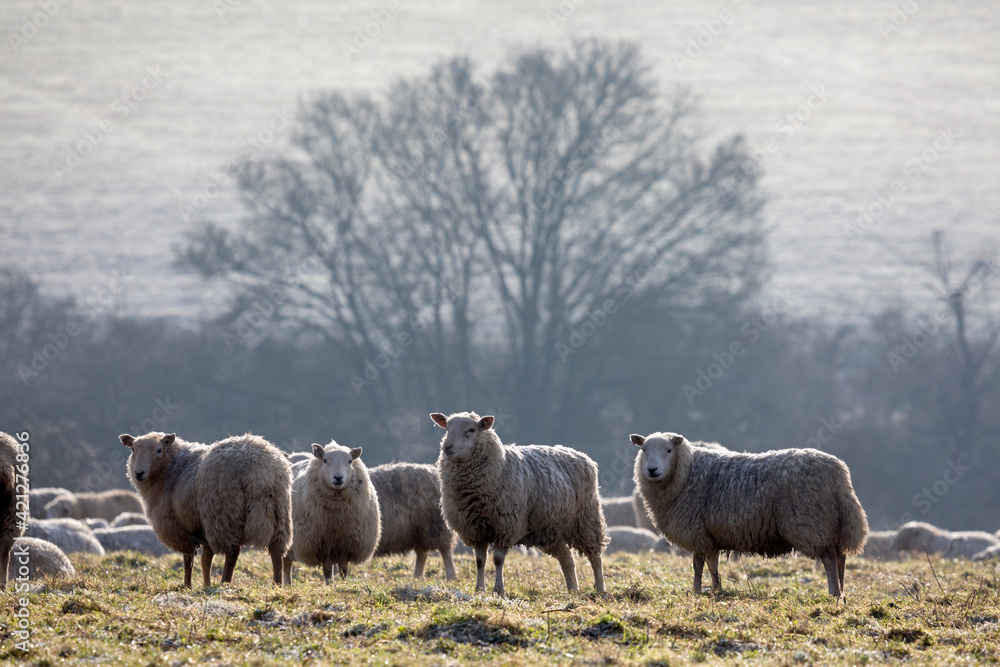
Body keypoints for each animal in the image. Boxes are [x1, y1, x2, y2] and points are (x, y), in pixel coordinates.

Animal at [121, 431, 293, 587]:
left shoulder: (182, 529)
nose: (139, 473)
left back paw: (225, 582)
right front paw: (206, 584)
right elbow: (206, 561)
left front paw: (188, 586)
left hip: (222, 515)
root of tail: (259, 471)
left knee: (232, 553)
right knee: (277, 550)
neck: (172, 468)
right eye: (133, 449)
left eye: (158, 450)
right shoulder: (202, 530)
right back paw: (277, 584)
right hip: (279, 513)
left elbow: (189, 560)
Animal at [282, 442, 381, 584]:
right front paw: (329, 585)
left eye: (350, 461)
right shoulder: (323, 547)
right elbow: (328, 571)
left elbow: (343, 570)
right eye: (325, 460)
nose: (338, 478)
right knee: (286, 564)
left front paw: (344, 584)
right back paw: (287, 585)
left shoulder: (345, 545)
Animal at [432, 411, 608, 596]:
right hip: (550, 531)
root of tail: (581, 455)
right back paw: (573, 589)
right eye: (447, 428)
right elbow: (480, 561)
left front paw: (498, 589)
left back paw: (600, 588)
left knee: (595, 556)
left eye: (471, 430)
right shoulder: (475, 529)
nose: (447, 447)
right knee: (567, 558)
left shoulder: (506, 526)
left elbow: (497, 559)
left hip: (587, 519)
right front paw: (479, 589)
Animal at [632, 432, 868, 597]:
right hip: (832, 523)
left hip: (812, 523)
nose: (652, 470)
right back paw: (842, 593)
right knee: (840, 557)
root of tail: (839, 473)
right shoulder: (709, 535)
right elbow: (711, 565)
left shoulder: (696, 531)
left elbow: (699, 565)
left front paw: (698, 591)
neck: (687, 472)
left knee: (829, 558)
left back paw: (833, 593)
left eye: (669, 450)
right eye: (643, 450)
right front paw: (715, 589)